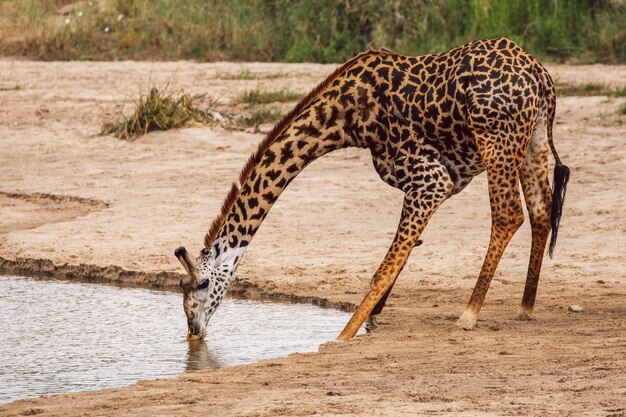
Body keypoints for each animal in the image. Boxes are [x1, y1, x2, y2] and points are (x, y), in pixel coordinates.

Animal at [174, 37, 564, 340]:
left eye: (202, 285)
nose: (193, 329)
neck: (345, 119)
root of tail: (541, 76)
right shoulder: (440, 181)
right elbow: (404, 254)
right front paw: (372, 319)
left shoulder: (430, 178)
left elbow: (385, 266)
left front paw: (343, 335)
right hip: (532, 141)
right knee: (541, 210)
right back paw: (525, 308)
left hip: (496, 141)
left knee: (508, 214)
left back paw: (468, 315)